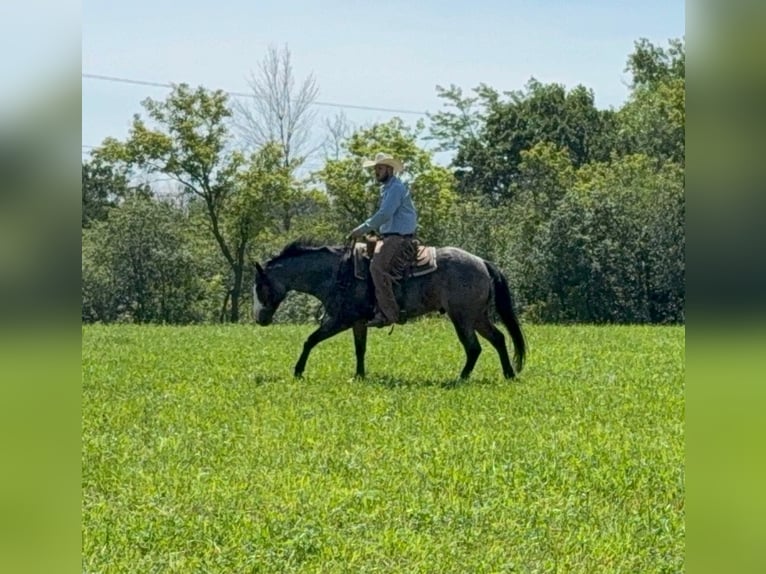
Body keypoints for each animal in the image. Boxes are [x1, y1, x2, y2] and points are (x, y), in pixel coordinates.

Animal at [253, 238, 526, 380]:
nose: (259, 319)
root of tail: (482, 262)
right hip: (477, 317)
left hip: (462, 318)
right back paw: (509, 374)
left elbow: (310, 340)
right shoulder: (358, 322)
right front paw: (359, 376)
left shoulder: (340, 319)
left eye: (259, 285)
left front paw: (298, 371)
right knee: (499, 339)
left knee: (474, 348)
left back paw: (461, 378)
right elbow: (360, 349)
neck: (335, 273)